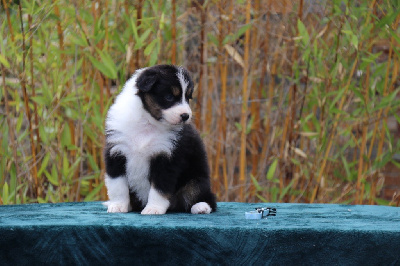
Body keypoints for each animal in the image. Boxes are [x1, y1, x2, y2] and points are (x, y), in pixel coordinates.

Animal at [102, 65, 216, 215]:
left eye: (188, 98)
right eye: (169, 97)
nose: (186, 116)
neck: (148, 122)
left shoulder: (166, 156)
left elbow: (159, 188)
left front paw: (153, 209)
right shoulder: (116, 152)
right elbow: (118, 185)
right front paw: (118, 206)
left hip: (196, 180)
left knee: (204, 196)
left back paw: (201, 207)